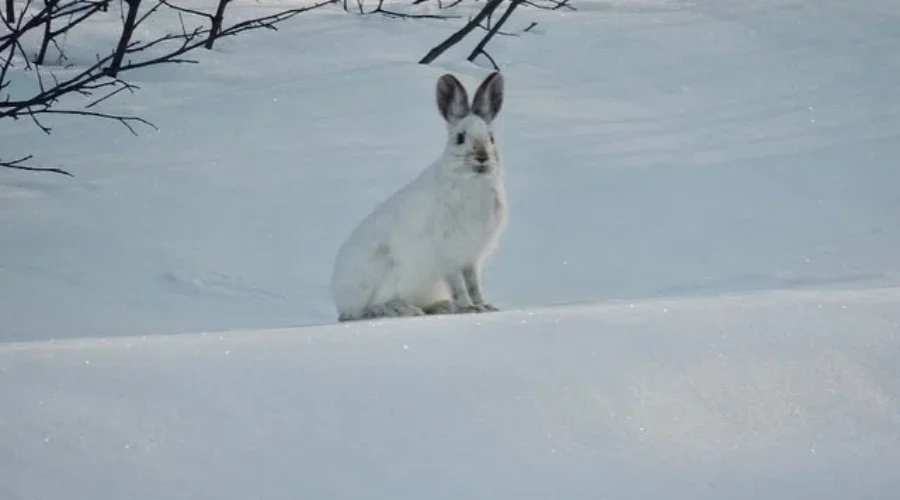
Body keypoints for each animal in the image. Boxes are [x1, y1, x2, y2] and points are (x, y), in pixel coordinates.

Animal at [331, 71, 509, 322]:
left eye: (491, 138)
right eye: (460, 138)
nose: (482, 157)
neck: (472, 181)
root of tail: (341, 302)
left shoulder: (471, 259)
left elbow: (474, 285)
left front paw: (485, 306)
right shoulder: (449, 258)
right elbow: (458, 286)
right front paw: (468, 308)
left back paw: (441, 306)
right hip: (385, 277)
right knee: (367, 311)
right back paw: (403, 310)